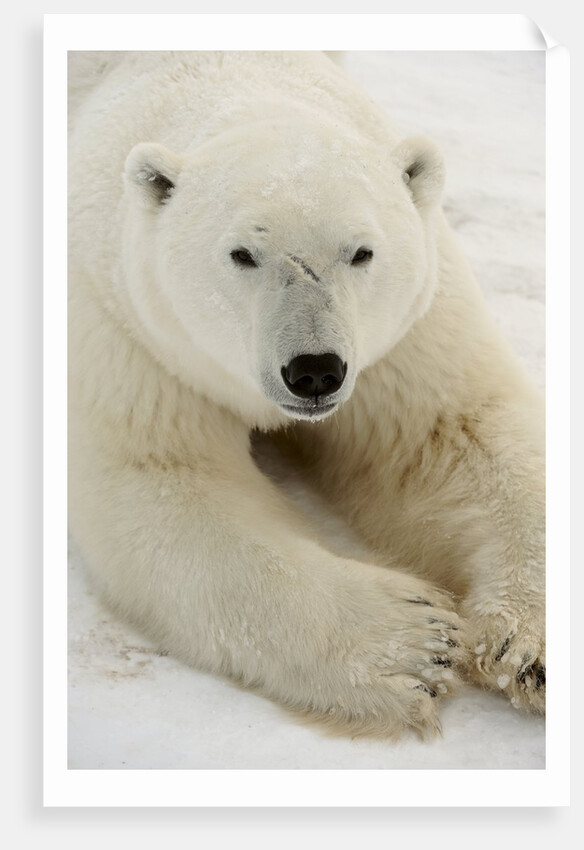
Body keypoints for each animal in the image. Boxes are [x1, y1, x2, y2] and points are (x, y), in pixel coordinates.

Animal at [67, 50, 545, 738]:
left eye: (362, 251)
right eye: (243, 253)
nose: (315, 370)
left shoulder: (404, 331)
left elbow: (450, 430)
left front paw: (528, 646)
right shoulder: (135, 326)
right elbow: (164, 481)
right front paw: (412, 644)